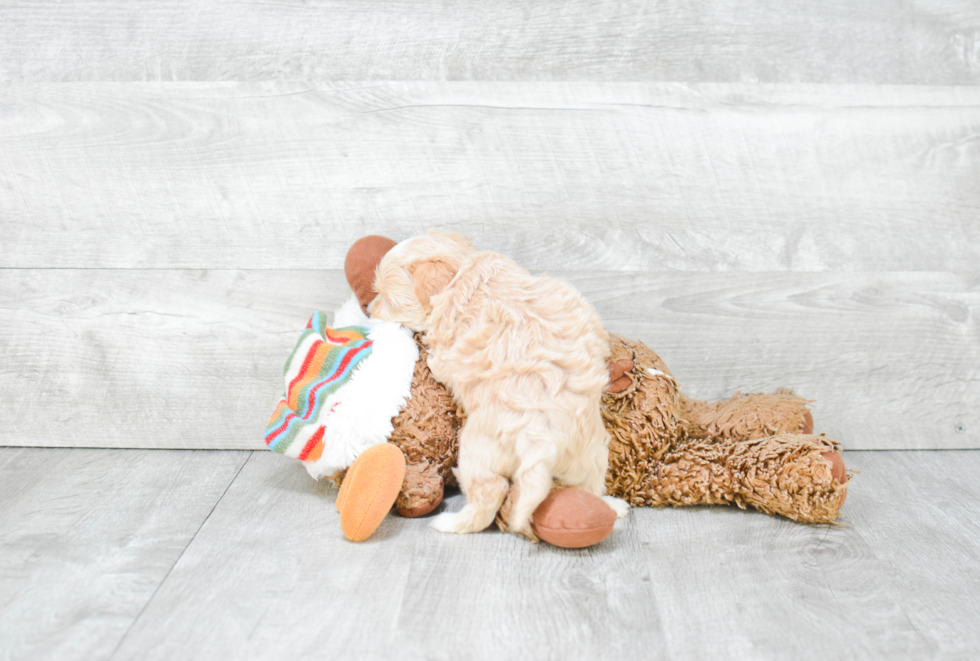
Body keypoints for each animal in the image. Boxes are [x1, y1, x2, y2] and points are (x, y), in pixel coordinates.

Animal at [368, 229, 628, 532]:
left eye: (389, 300)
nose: (370, 311)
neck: (463, 270)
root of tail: (544, 441)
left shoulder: (443, 344)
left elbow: (436, 360)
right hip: (590, 451)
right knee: (587, 485)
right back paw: (612, 507)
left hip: (477, 450)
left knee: (489, 492)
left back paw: (451, 523)